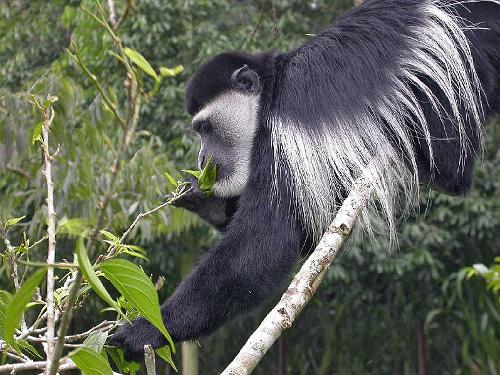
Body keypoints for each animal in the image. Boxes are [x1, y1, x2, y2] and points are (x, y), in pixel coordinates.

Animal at [113, 0, 500, 360]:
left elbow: (263, 245)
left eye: (206, 128)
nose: (202, 159)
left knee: (451, 161)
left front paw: (147, 330)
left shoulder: (281, 133)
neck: (271, 90)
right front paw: (203, 200)